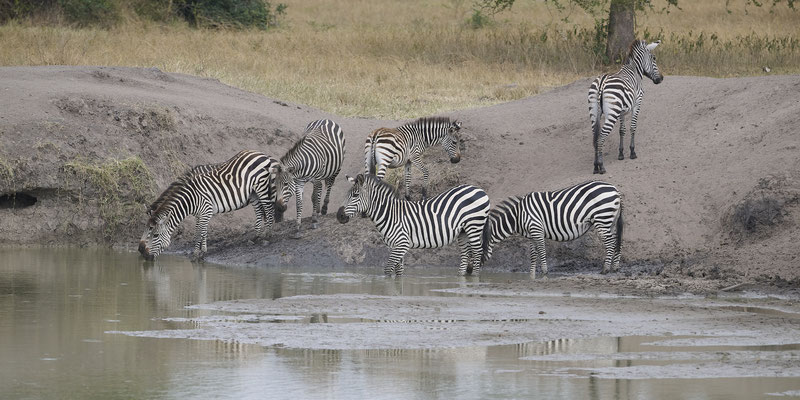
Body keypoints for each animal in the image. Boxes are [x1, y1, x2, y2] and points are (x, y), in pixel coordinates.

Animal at [138, 150, 280, 261]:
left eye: (155, 235)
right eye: (147, 229)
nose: (144, 254)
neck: (191, 198)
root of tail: (261, 153)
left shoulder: (206, 210)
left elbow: (198, 233)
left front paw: (196, 254)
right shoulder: (201, 214)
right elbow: (203, 231)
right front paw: (202, 251)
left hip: (261, 186)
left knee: (268, 208)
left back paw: (267, 234)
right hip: (253, 193)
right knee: (259, 210)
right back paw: (257, 236)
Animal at [336, 174, 489, 276]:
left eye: (355, 195)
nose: (339, 216)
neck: (390, 214)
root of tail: (479, 189)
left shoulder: (402, 243)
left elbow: (388, 270)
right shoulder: (394, 246)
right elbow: (398, 272)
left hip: (474, 226)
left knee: (477, 252)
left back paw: (474, 277)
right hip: (463, 231)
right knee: (465, 253)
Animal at [481, 181, 623, 278]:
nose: (474, 273)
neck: (518, 216)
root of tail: (615, 189)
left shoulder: (537, 229)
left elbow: (542, 251)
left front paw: (544, 272)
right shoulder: (531, 235)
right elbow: (533, 255)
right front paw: (531, 275)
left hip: (602, 218)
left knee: (610, 243)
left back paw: (605, 269)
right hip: (610, 220)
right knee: (616, 240)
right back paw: (615, 267)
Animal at [589, 39, 663, 174]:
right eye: (654, 58)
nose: (661, 79)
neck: (634, 70)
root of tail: (602, 82)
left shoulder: (622, 111)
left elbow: (622, 130)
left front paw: (621, 154)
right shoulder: (637, 103)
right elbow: (633, 127)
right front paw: (632, 152)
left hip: (594, 112)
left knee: (595, 137)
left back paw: (595, 166)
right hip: (612, 114)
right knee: (600, 137)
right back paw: (601, 166)